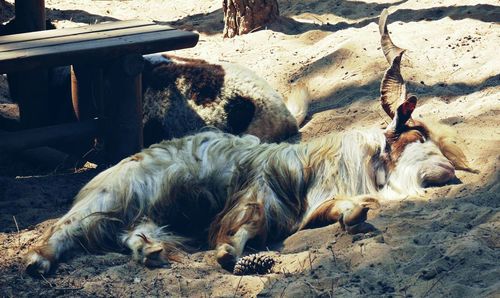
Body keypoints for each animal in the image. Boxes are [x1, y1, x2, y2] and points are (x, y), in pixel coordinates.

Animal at [24, 10, 476, 276]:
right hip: (111, 200)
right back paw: (37, 263)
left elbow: (344, 211)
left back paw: (151, 252)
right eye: (416, 134)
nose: (449, 174)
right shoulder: (256, 194)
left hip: (142, 215)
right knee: (64, 229)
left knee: (129, 235)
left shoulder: (303, 208)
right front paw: (228, 254)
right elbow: (245, 226)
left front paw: (356, 216)